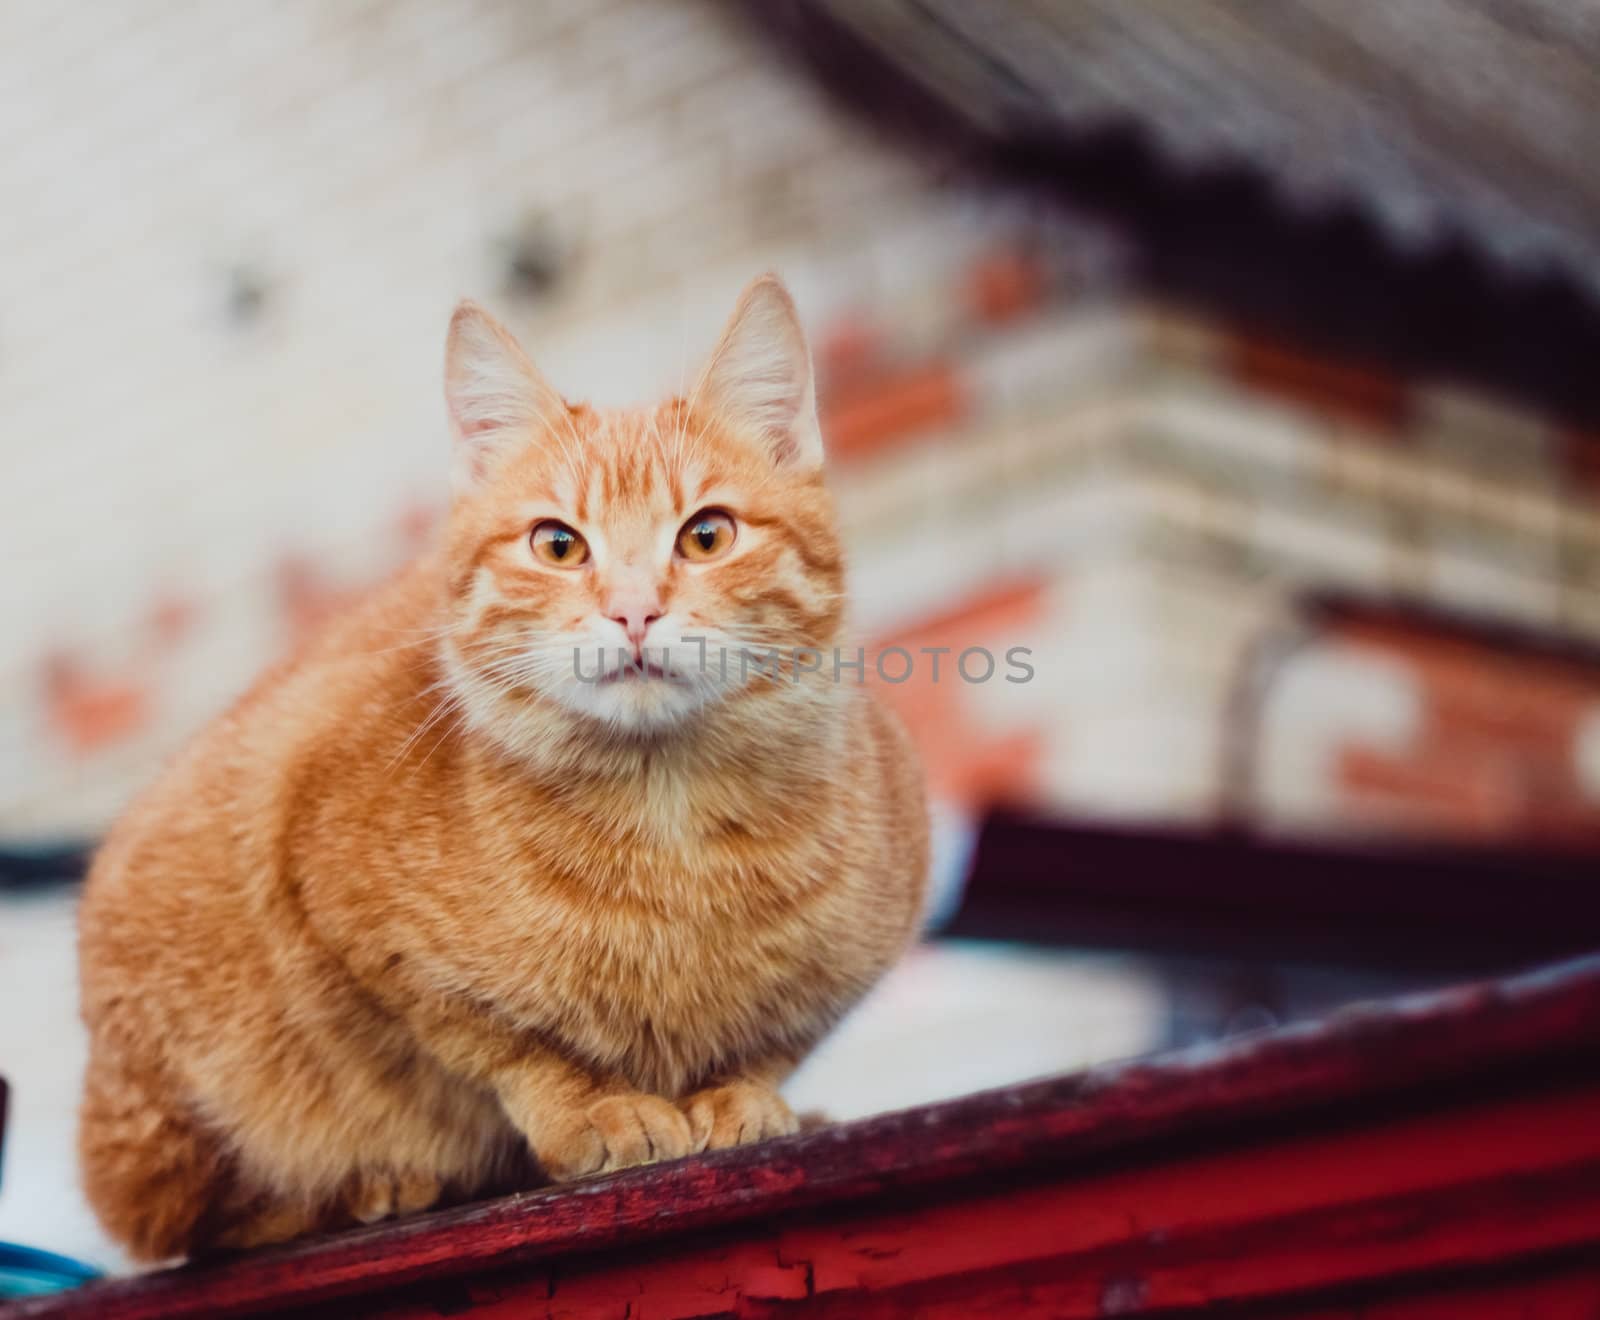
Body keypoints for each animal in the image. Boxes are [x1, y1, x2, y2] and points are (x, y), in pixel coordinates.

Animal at [78, 275, 928, 1254]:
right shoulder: (332, 890)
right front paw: (593, 1111)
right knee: (192, 1223)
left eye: (706, 535)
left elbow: (775, 1040)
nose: (633, 612)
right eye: (558, 544)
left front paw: (747, 1095)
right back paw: (375, 1185)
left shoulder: (868, 939)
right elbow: (502, 1043)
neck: (668, 819)